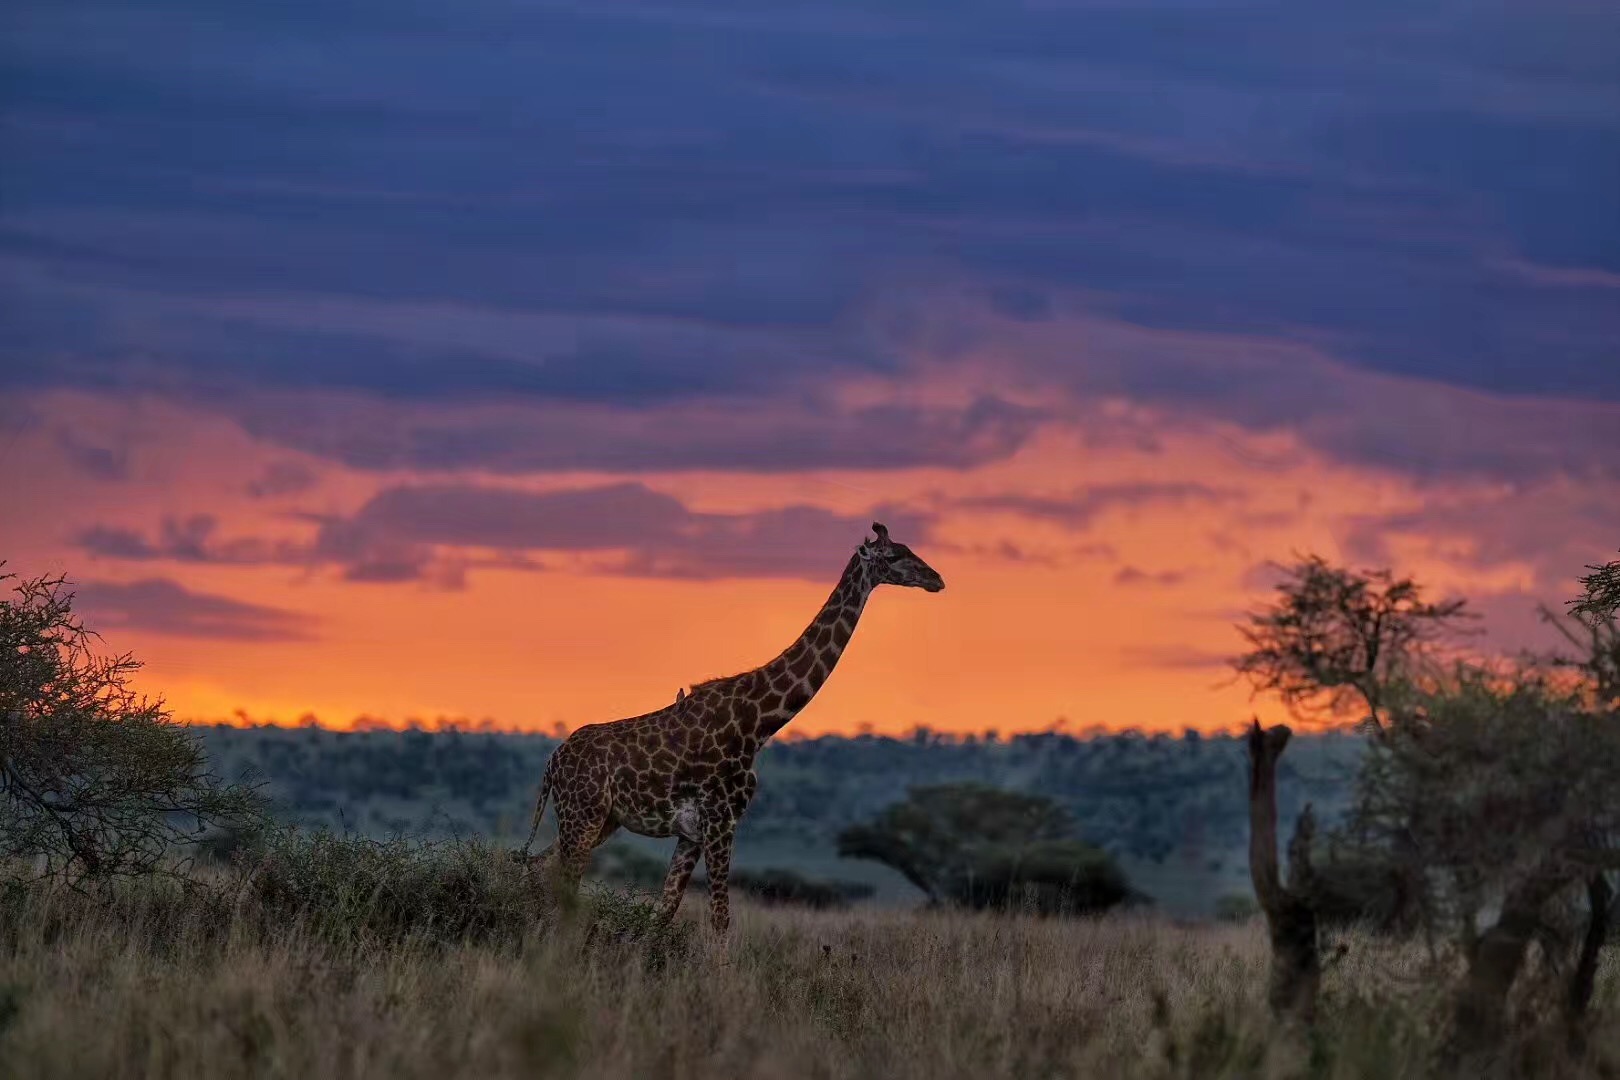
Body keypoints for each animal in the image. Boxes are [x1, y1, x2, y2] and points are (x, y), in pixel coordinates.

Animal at [518, 521, 946, 932]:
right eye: (893, 555)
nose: (937, 579)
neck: (761, 722)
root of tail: (551, 763)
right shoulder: (721, 821)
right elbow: (721, 917)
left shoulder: (692, 833)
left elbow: (664, 914)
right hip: (583, 816)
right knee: (561, 886)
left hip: (602, 820)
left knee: (540, 868)